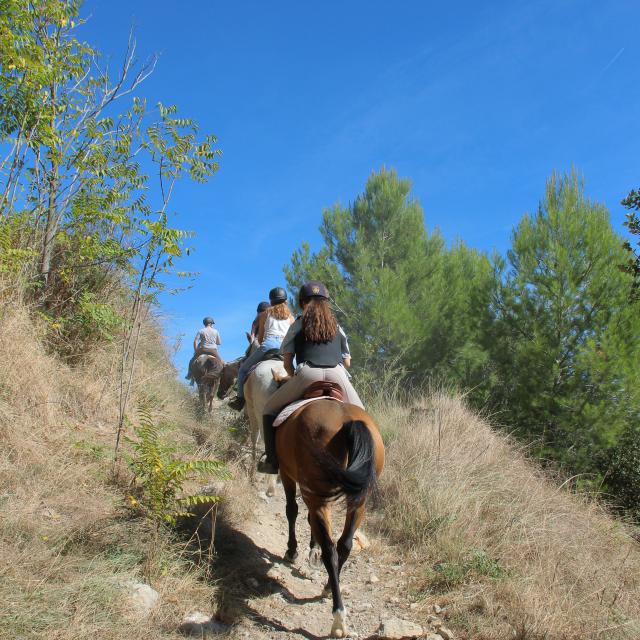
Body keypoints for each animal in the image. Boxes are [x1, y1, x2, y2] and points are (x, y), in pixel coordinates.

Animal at [276, 400, 384, 636]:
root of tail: (348, 421)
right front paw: (310, 548)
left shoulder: (286, 473)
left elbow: (291, 510)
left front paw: (292, 551)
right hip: (358, 501)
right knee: (344, 545)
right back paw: (328, 588)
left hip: (317, 495)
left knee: (330, 549)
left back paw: (338, 619)